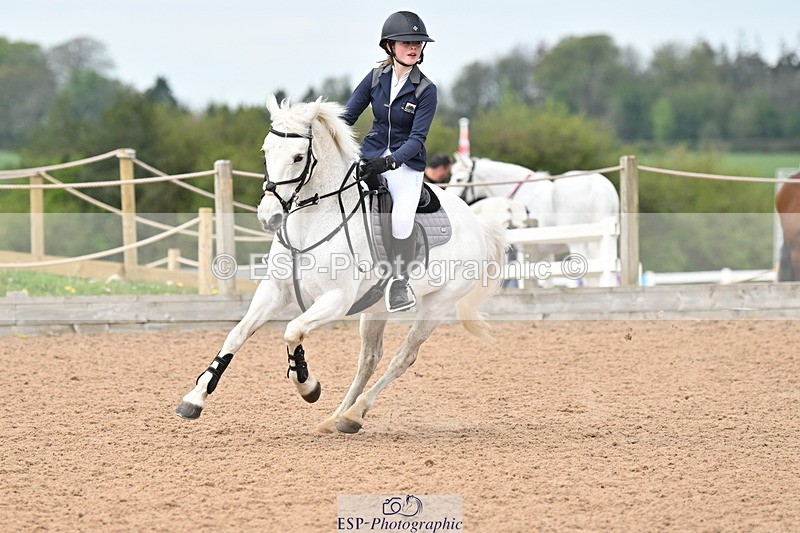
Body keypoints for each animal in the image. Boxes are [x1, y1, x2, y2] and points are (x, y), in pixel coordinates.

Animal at [175, 94, 508, 434]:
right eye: (265, 152)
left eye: (298, 157)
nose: (269, 217)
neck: (311, 223)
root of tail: (478, 223)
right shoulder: (274, 291)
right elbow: (237, 334)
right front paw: (194, 399)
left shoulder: (336, 300)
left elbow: (292, 331)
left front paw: (307, 385)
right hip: (376, 307)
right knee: (369, 358)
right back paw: (336, 417)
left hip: (436, 306)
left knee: (404, 356)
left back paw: (354, 413)